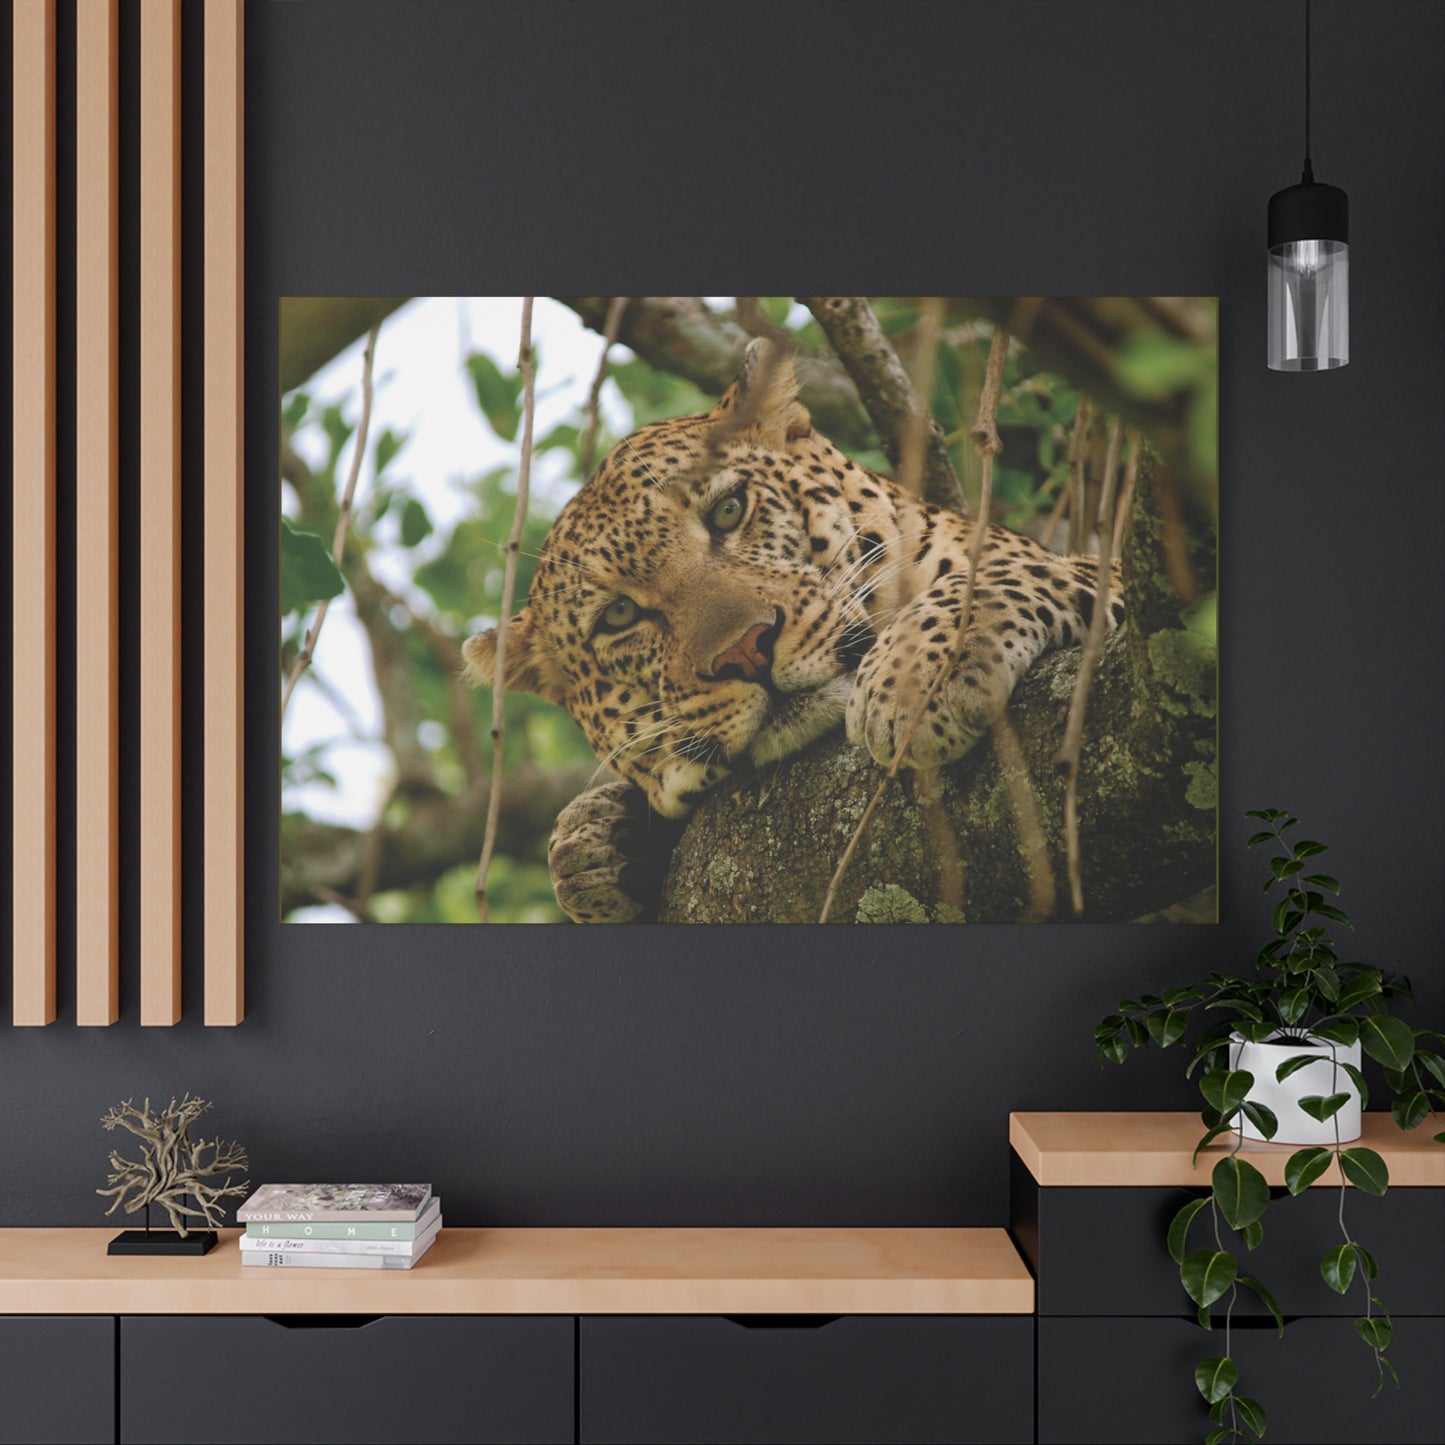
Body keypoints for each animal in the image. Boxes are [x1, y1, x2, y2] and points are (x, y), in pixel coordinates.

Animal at [463, 339, 1124, 922]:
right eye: (619, 616)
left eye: (729, 511)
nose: (745, 651)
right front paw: (595, 847)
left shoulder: (1112, 574)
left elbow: (1002, 572)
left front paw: (914, 679)